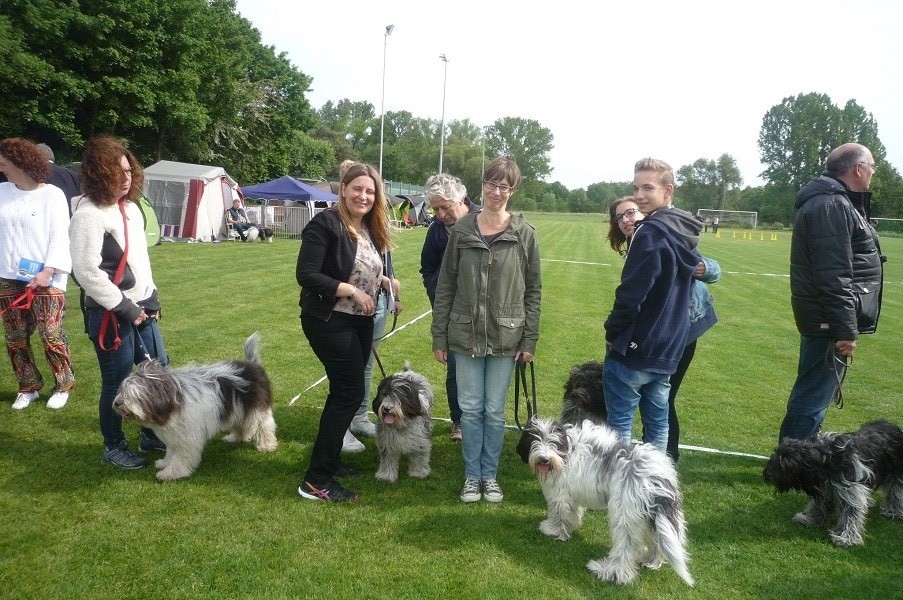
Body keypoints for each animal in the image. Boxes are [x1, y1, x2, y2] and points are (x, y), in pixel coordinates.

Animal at [512, 418, 696, 584]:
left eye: (554, 442)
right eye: (534, 439)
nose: (544, 459)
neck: (566, 452)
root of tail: (657, 478)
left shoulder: (560, 495)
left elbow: (560, 515)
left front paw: (554, 530)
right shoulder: (571, 495)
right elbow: (572, 514)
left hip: (626, 516)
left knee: (625, 548)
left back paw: (611, 573)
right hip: (650, 516)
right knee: (655, 541)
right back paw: (651, 561)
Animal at [764, 420, 903, 548]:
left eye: (785, 463)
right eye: (776, 456)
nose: (767, 474)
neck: (828, 458)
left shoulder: (851, 490)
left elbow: (850, 515)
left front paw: (846, 538)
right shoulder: (826, 489)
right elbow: (819, 506)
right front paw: (810, 520)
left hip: (896, 473)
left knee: (895, 492)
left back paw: (893, 511)